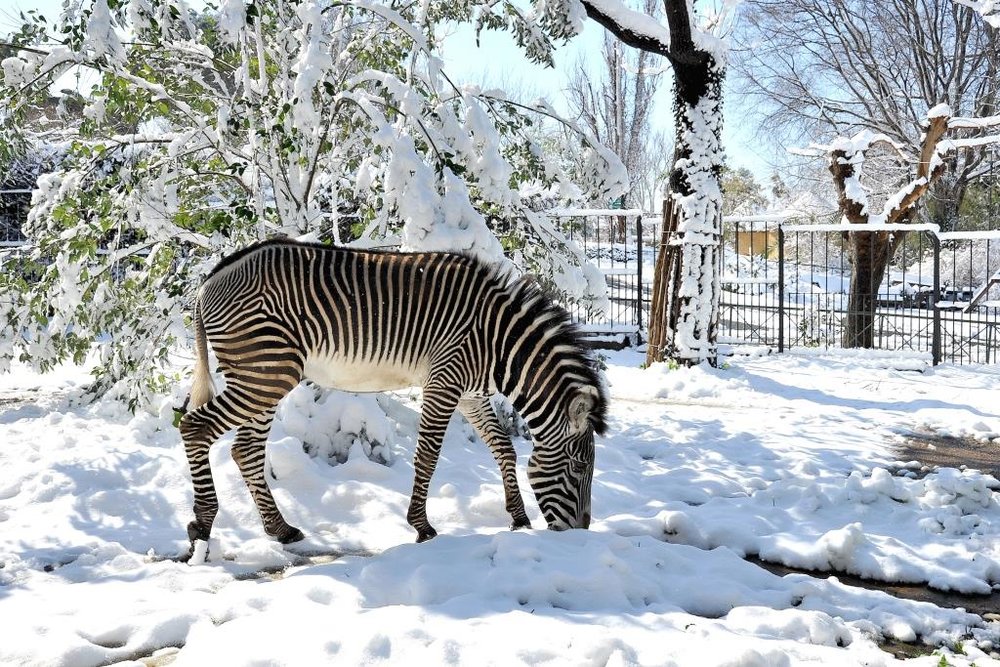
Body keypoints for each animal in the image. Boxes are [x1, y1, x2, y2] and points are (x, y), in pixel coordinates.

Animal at [176, 237, 604, 560]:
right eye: (580, 467)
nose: (579, 535)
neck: (497, 339)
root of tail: (210, 280)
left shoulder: (470, 394)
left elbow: (503, 448)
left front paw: (518, 518)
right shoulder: (444, 382)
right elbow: (428, 456)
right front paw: (422, 526)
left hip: (263, 375)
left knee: (245, 449)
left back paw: (280, 529)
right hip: (266, 371)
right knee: (195, 427)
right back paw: (202, 524)